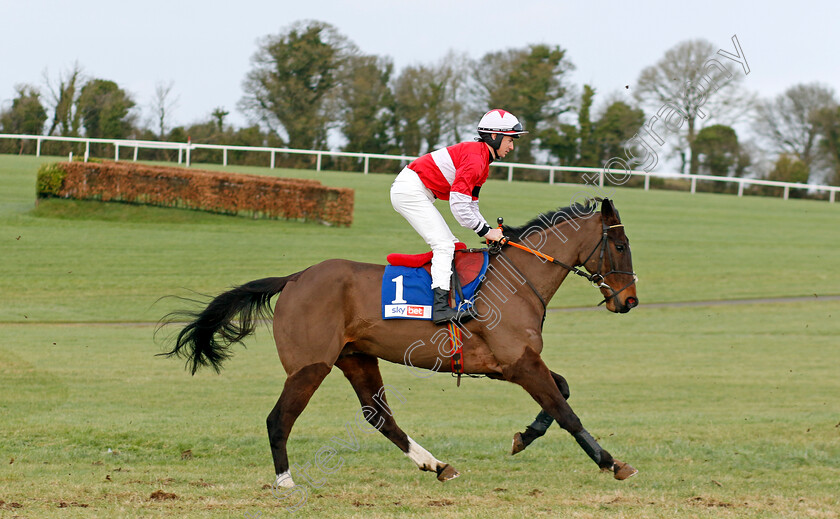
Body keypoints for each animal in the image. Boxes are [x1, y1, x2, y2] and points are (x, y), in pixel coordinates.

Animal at [161, 197, 640, 490]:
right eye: (620, 245)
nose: (630, 301)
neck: (518, 280)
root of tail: (295, 278)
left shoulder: (510, 364)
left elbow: (562, 391)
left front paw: (524, 436)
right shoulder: (519, 363)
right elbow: (565, 410)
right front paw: (611, 462)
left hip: (357, 359)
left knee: (381, 419)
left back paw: (437, 464)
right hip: (310, 367)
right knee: (278, 420)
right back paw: (286, 481)